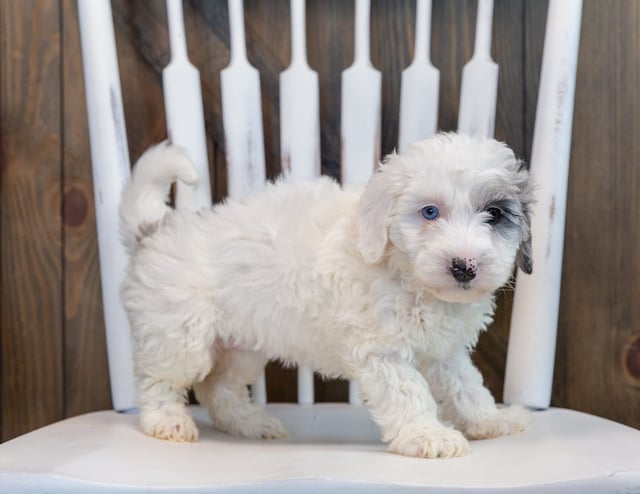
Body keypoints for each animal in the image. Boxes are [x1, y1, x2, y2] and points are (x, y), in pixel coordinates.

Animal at [119, 132, 536, 460]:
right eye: (430, 212)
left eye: (495, 214)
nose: (464, 266)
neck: (405, 274)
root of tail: (158, 228)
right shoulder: (381, 352)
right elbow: (408, 391)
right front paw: (427, 435)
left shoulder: (444, 352)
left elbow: (467, 386)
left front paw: (492, 420)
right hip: (179, 334)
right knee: (158, 380)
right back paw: (167, 420)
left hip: (242, 347)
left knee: (217, 387)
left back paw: (251, 423)